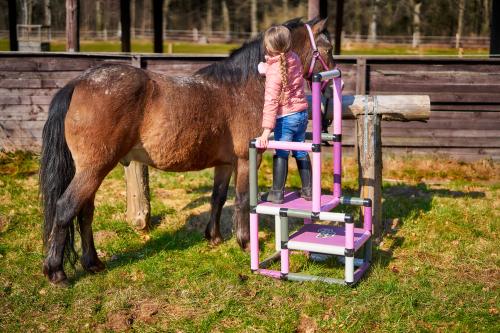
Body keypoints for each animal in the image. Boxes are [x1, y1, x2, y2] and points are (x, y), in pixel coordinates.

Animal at [40, 16, 336, 284]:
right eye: (329, 49)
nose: (329, 95)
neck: (243, 87)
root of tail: (77, 83)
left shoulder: (225, 163)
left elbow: (218, 198)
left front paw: (214, 237)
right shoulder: (245, 160)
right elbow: (241, 200)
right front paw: (244, 243)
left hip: (93, 171)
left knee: (85, 212)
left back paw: (92, 263)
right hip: (94, 169)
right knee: (66, 209)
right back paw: (57, 272)